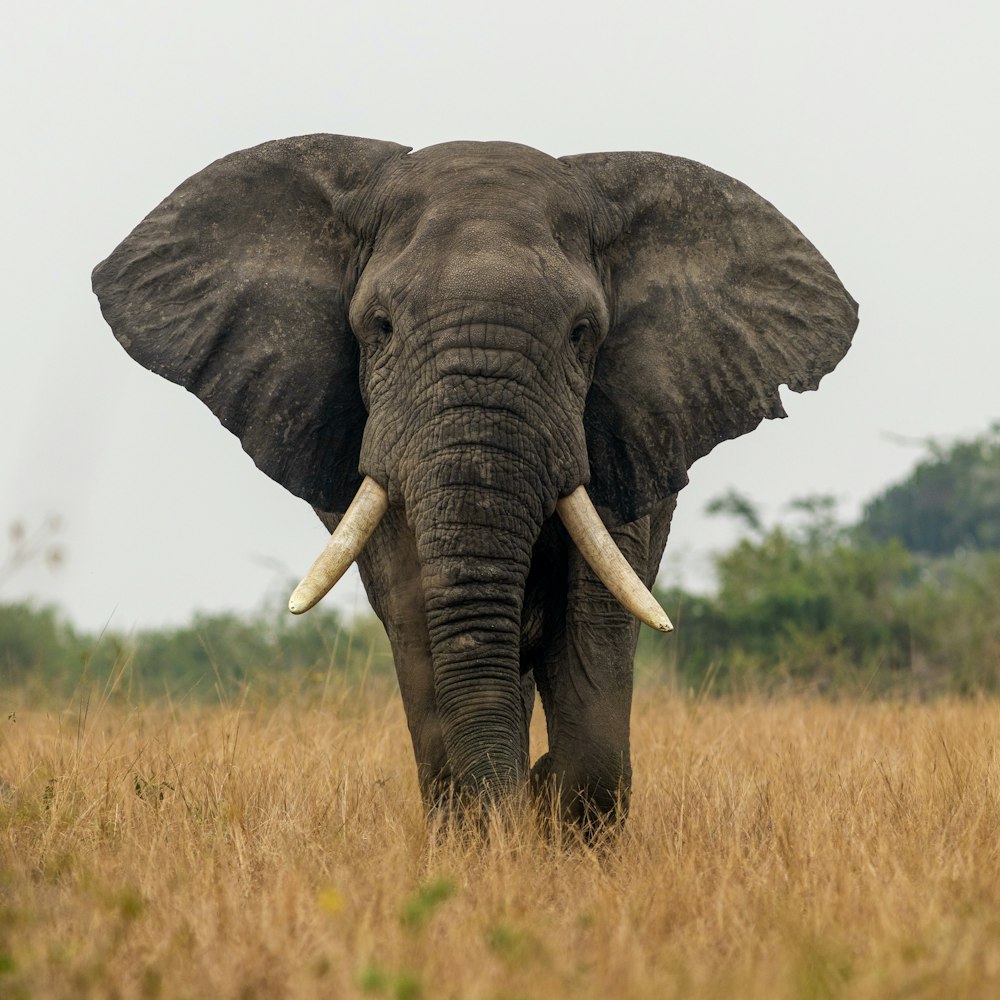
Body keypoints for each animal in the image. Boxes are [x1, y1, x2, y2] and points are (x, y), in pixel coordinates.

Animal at [94, 137, 856, 832]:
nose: (521, 797)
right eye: (380, 327)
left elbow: (594, 617)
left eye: (583, 333)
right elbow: (418, 614)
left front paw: (551, 807)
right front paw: (487, 832)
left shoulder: (622, 428)